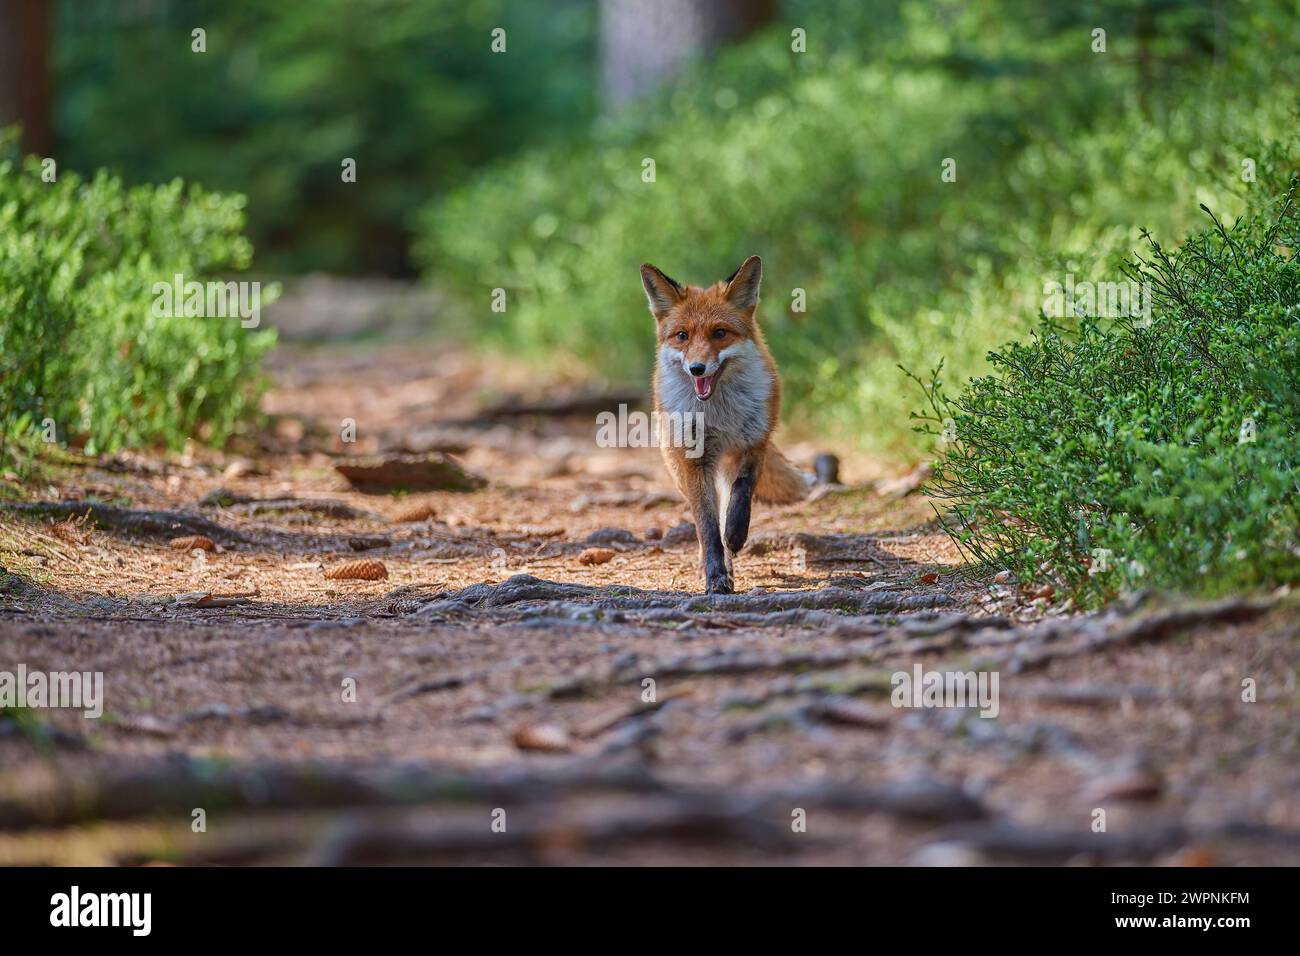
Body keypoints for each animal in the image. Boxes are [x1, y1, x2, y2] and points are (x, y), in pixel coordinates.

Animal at [642, 257, 811, 595]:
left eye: (720, 333)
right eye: (682, 335)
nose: (697, 368)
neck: (719, 415)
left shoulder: (754, 443)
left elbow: (741, 495)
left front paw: (735, 534)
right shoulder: (693, 461)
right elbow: (707, 527)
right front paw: (716, 576)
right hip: (681, 467)